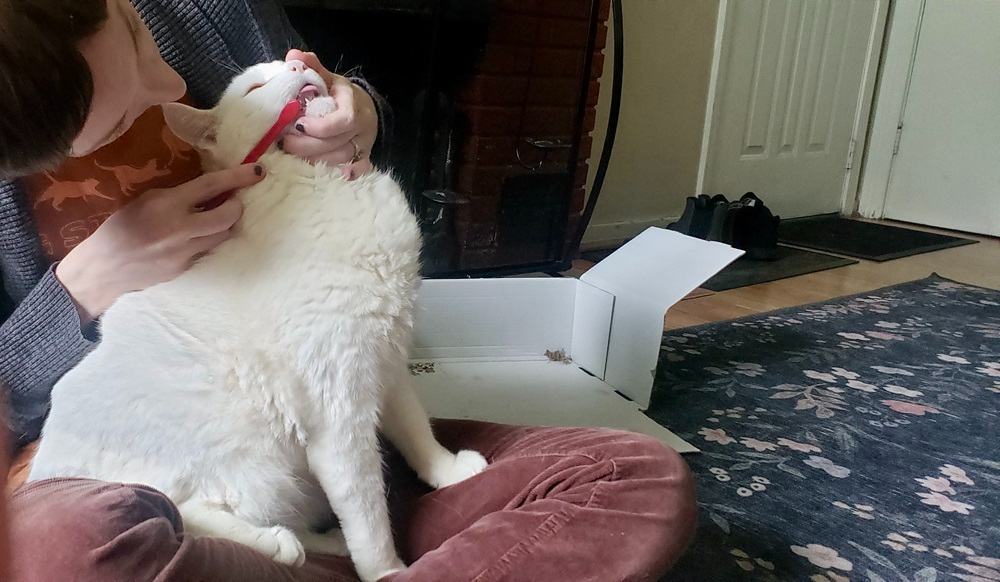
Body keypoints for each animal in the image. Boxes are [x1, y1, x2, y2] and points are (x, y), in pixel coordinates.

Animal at [29, 60, 486, 582]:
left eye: (289, 64)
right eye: (255, 86)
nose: (299, 62)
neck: (322, 186)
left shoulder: (384, 364)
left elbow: (415, 430)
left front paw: (448, 471)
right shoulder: (338, 413)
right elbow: (368, 512)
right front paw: (389, 571)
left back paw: (323, 542)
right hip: (247, 462)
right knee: (180, 507)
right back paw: (278, 544)